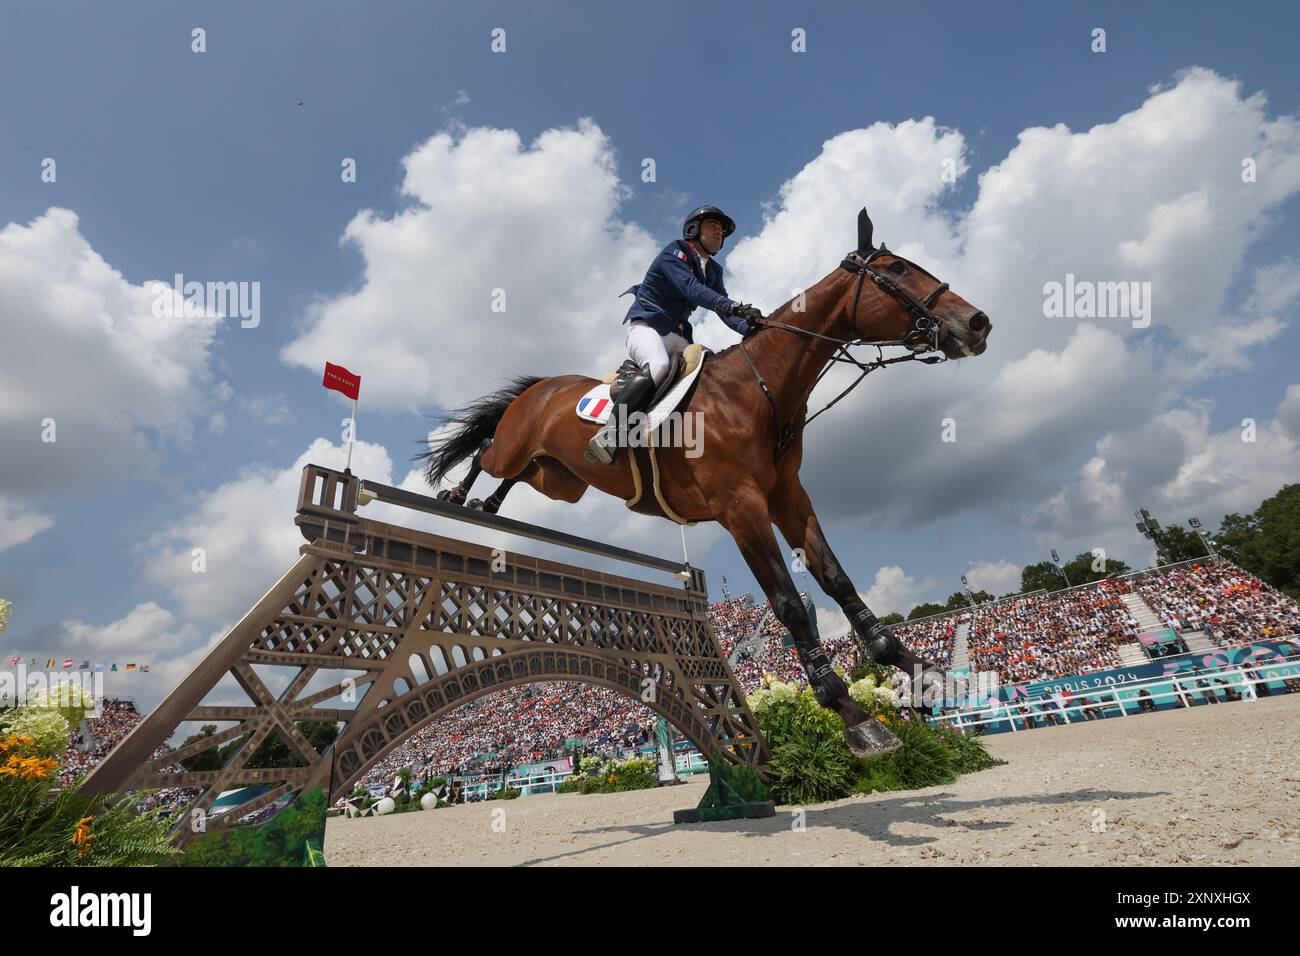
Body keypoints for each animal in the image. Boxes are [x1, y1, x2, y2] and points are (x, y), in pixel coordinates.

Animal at [416, 209, 993, 754]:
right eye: (896, 271)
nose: (978, 323)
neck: (758, 392)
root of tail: (541, 388)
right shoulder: (741, 509)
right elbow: (788, 602)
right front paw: (852, 713)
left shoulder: (789, 496)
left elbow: (836, 578)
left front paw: (915, 668)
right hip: (519, 445)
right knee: (486, 453)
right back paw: (459, 496)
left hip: (558, 478)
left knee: (516, 476)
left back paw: (489, 506)